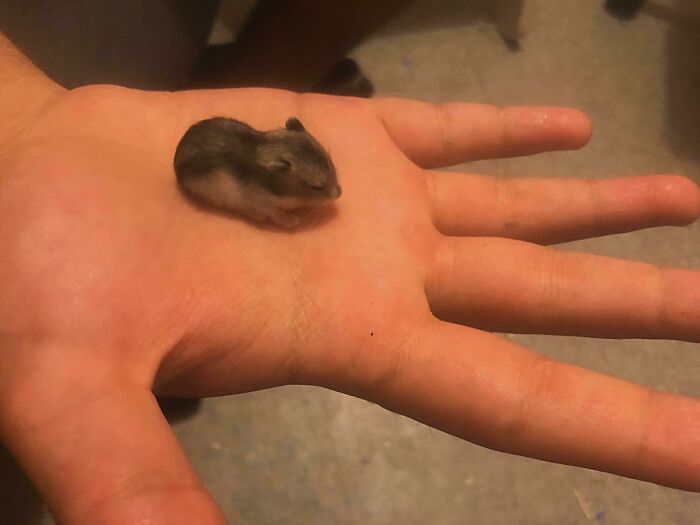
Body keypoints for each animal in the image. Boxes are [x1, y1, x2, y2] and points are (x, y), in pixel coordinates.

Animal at [174, 116, 341, 228]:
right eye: (316, 187)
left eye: (331, 163)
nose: (339, 194)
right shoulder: (263, 205)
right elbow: (276, 213)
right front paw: (294, 222)